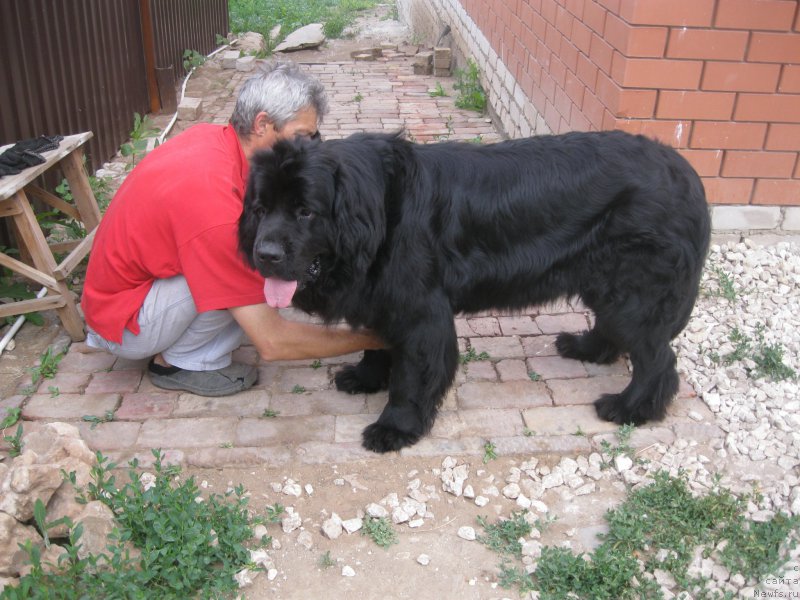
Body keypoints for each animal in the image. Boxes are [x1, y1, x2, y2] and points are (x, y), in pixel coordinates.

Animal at [239, 129, 712, 452]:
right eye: (260, 209)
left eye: (305, 211)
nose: (265, 254)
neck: (378, 211)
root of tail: (688, 173)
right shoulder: (382, 299)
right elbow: (377, 343)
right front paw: (367, 377)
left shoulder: (421, 310)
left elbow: (414, 375)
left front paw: (394, 427)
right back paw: (585, 348)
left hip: (633, 288)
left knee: (657, 359)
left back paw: (629, 408)